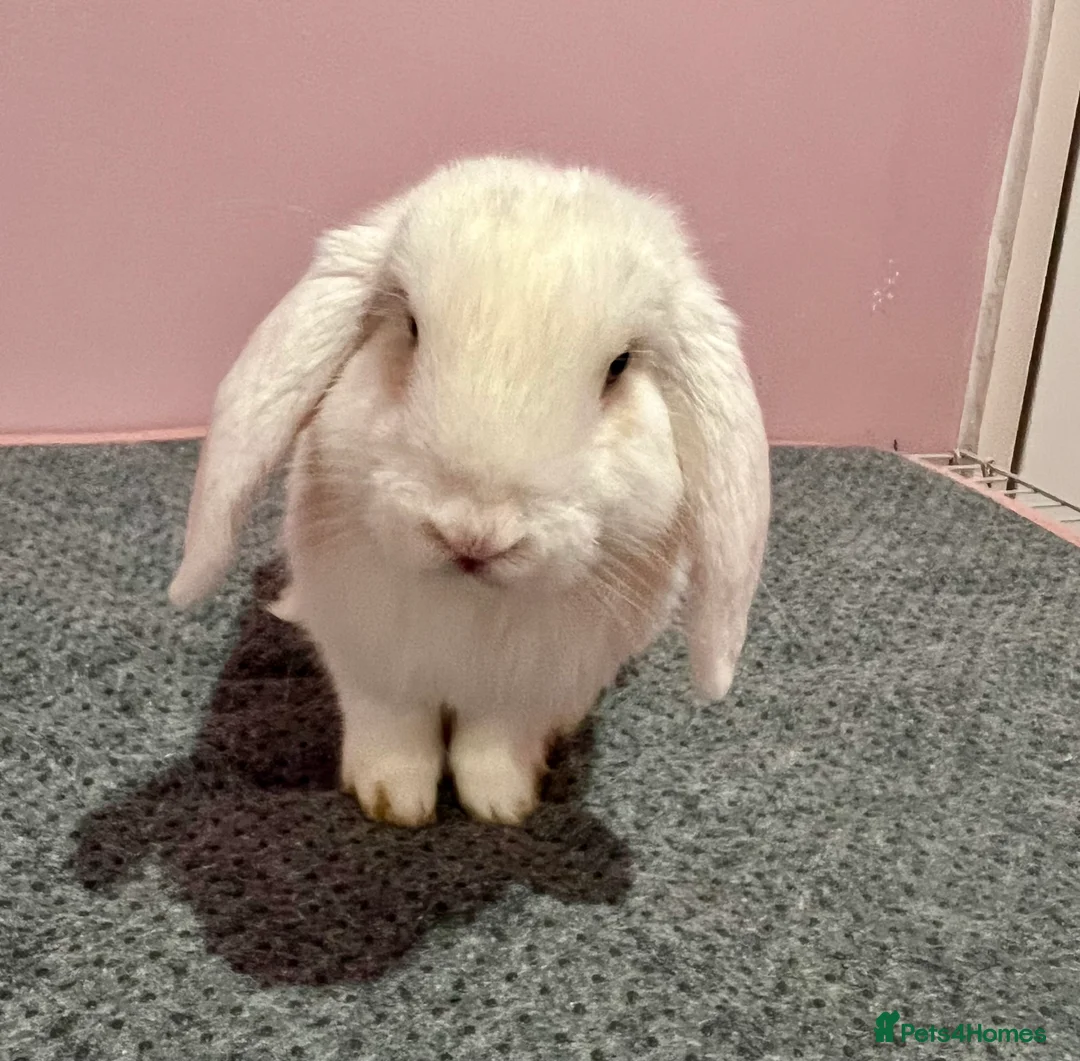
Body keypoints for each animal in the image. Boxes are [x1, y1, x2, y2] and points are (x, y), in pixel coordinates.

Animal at [168, 156, 770, 828]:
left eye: (619, 367)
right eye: (410, 327)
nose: (473, 534)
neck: (469, 601)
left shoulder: (529, 687)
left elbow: (494, 744)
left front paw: (502, 805)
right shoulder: (373, 662)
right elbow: (394, 731)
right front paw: (395, 801)